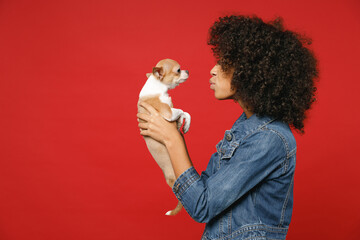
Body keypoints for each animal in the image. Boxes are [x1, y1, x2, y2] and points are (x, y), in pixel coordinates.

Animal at [137, 58, 191, 216]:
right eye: (178, 70)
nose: (187, 71)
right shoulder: (168, 112)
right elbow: (181, 110)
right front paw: (182, 122)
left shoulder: (172, 111)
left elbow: (185, 113)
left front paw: (184, 125)